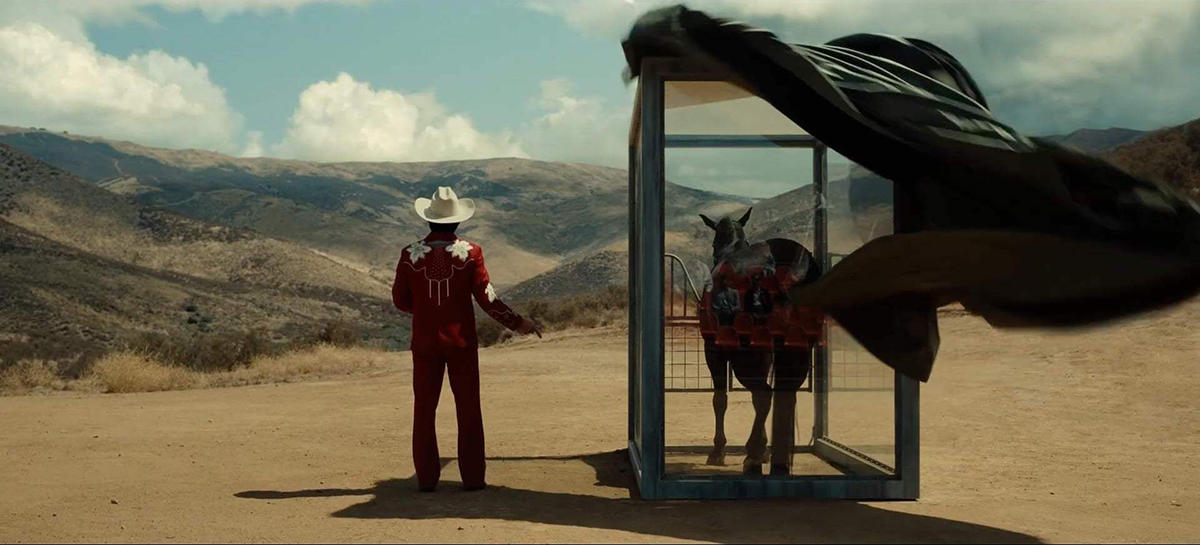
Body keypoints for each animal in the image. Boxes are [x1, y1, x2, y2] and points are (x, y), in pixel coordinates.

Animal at [700, 206, 820, 475]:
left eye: (713, 242)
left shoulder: (714, 351)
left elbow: (719, 399)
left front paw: (718, 451)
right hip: (796, 352)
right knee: (783, 393)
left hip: (746, 358)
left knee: (764, 395)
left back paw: (753, 456)